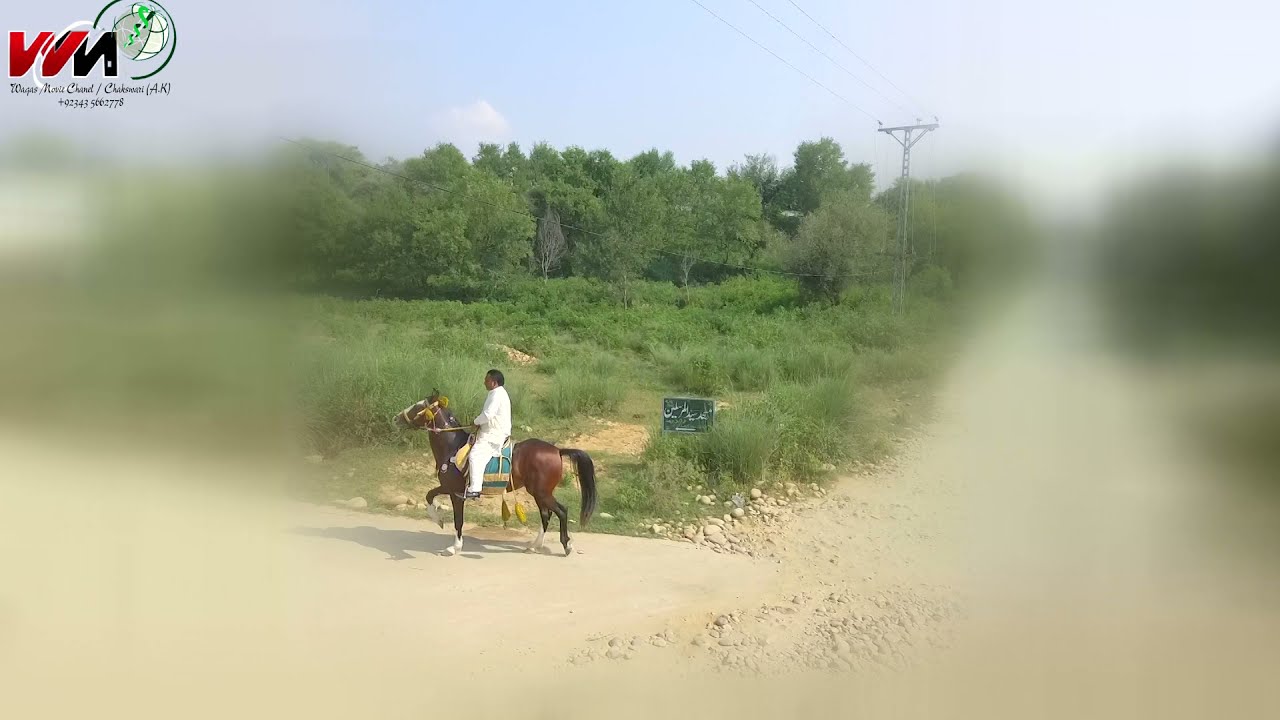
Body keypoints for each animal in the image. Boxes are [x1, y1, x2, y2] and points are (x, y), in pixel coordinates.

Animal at [394, 389, 597, 557]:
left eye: (418, 407)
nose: (396, 418)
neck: (453, 448)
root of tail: (557, 450)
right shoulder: (448, 487)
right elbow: (429, 495)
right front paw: (439, 520)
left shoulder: (456, 492)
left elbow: (458, 520)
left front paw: (454, 547)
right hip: (540, 493)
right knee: (546, 515)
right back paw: (534, 546)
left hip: (542, 493)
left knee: (561, 511)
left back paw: (566, 545)